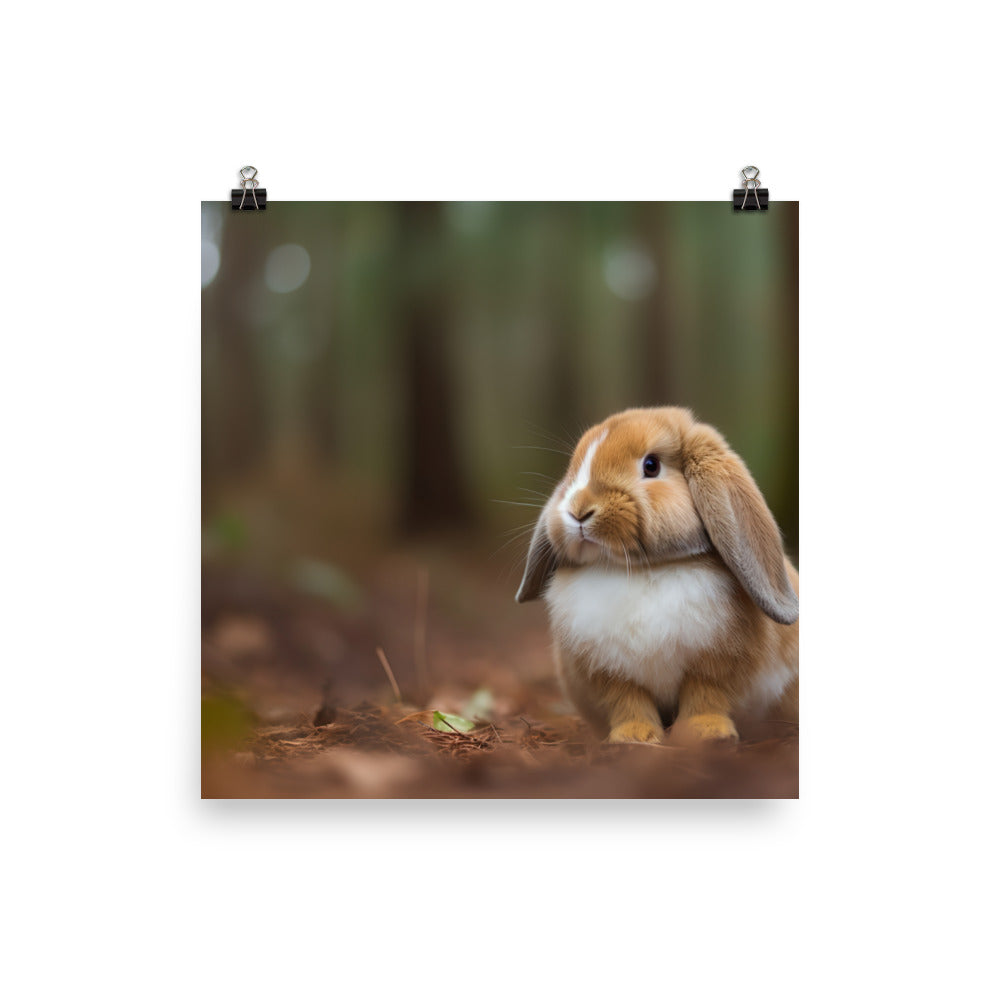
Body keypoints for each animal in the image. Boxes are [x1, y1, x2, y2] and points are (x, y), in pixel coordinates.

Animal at [516, 406, 798, 744]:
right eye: (575, 470)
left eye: (651, 466)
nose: (579, 511)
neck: (640, 569)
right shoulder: (611, 673)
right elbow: (628, 702)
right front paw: (633, 738)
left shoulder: (716, 663)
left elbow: (706, 696)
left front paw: (705, 734)